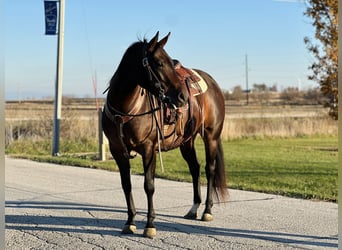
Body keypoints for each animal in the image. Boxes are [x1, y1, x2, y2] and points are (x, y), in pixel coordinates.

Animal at [102, 31, 230, 238]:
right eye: (159, 63)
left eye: (170, 62)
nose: (182, 97)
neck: (125, 110)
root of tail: (213, 83)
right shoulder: (117, 151)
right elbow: (126, 185)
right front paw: (130, 222)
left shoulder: (148, 149)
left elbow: (149, 185)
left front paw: (150, 225)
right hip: (186, 141)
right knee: (195, 168)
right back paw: (193, 209)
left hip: (211, 136)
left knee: (209, 169)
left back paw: (207, 211)